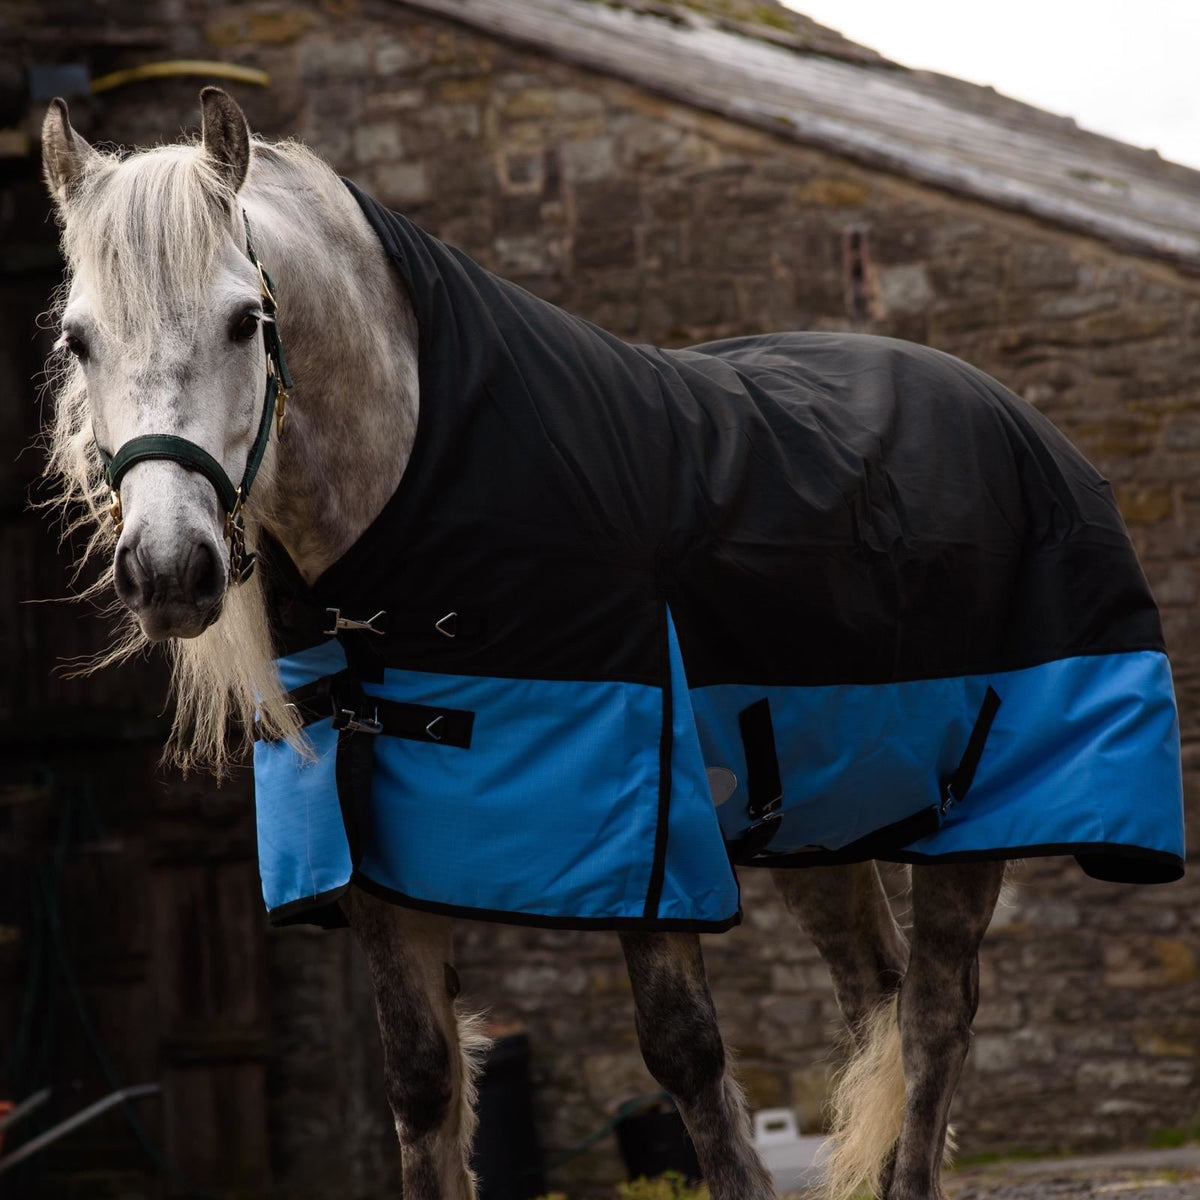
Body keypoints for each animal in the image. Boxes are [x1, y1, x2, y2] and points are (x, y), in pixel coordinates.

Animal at [37, 89, 1181, 1200]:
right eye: (78, 340)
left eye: (247, 321)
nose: (169, 569)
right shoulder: (376, 868)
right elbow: (423, 1082)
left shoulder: (649, 827)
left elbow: (687, 1057)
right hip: (824, 813)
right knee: (879, 999)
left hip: (972, 821)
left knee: (937, 1016)